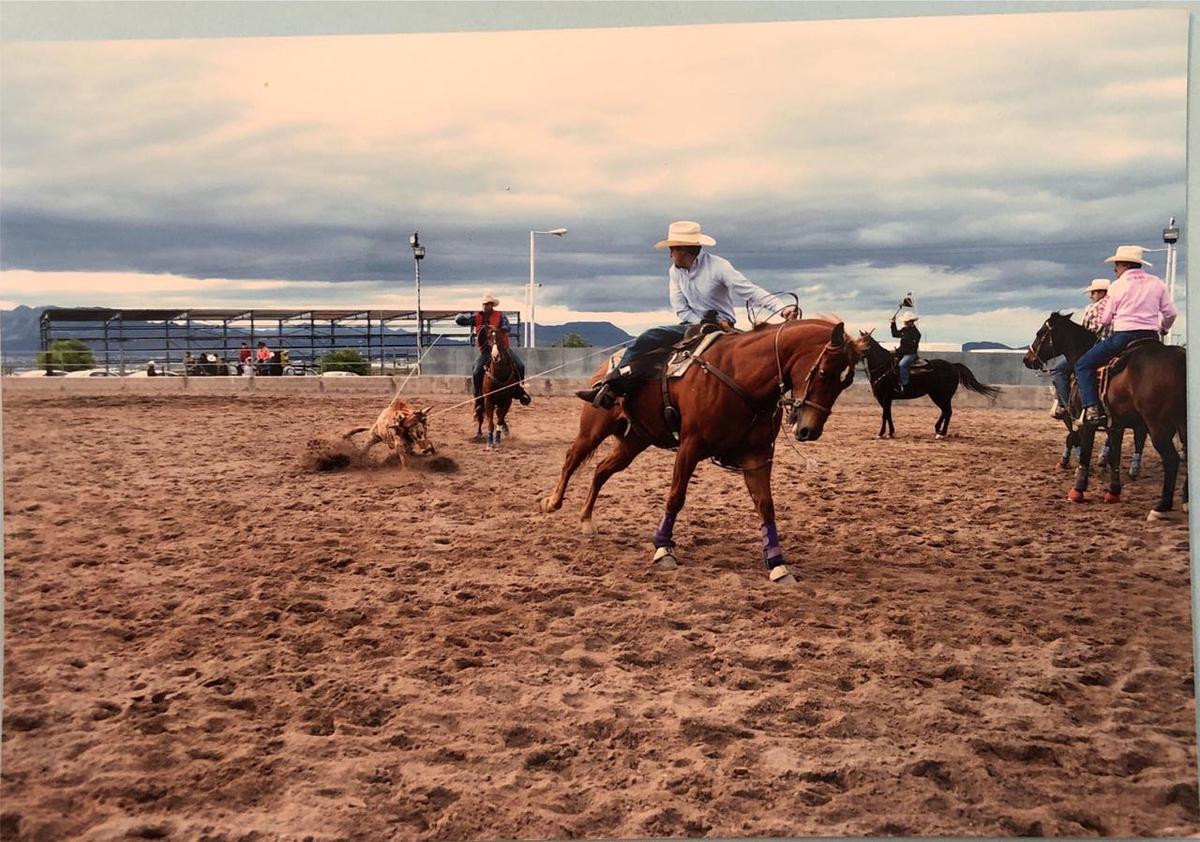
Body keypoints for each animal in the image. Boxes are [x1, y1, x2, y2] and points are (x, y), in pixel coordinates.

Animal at [472, 323, 520, 455]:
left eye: (499, 337)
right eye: (488, 337)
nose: (495, 356)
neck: (499, 374)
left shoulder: (507, 401)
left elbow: (499, 420)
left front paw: (497, 441)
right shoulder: (489, 400)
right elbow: (490, 423)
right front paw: (489, 443)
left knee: (499, 415)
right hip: (481, 399)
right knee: (480, 412)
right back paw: (478, 433)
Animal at [544, 319, 873, 587]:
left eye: (846, 381)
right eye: (823, 371)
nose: (809, 430)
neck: (741, 376)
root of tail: (605, 367)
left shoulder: (757, 457)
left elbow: (766, 507)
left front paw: (778, 564)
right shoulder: (690, 446)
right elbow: (676, 497)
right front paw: (663, 548)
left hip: (634, 441)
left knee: (601, 470)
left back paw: (586, 519)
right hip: (593, 430)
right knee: (572, 458)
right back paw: (552, 501)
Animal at [859, 331, 998, 441]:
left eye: (863, 342)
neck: (883, 366)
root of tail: (953, 365)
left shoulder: (886, 396)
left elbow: (884, 415)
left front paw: (881, 433)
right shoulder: (882, 398)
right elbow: (888, 414)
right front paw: (890, 432)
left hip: (941, 395)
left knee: (948, 411)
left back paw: (941, 433)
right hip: (939, 396)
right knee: (945, 411)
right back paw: (938, 430)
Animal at [1022, 314, 1152, 477]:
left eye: (1039, 333)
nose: (1027, 360)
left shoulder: (1074, 416)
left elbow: (1073, 437)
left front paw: (1068, 462)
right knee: (1139, 434)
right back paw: (1130, 466)